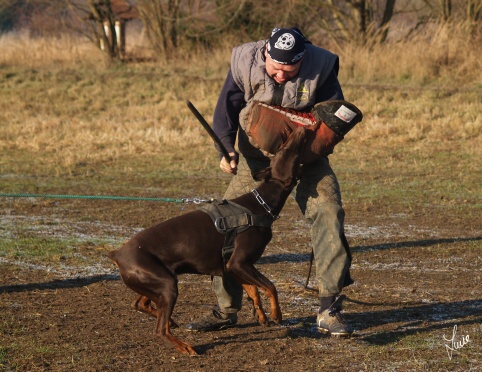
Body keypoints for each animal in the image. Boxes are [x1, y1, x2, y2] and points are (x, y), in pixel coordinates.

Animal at [108, 125, 306, 354]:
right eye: (284, 150)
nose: (299, 130)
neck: (261, 204)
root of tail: (118, 254)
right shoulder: (239, 262)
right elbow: (270, 286)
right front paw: (276, 314)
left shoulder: (234, 266)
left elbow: (254, 290)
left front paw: (262, 315)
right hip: (167, 284)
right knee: (159, 329)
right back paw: (184, 346)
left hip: (155, 280)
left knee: (141, 304)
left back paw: (171, 321)